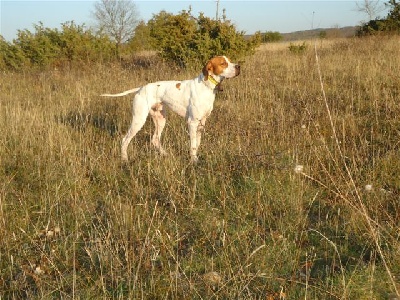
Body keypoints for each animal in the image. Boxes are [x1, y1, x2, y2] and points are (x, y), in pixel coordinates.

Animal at [101, 56, 242, 164]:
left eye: (230, 60)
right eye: (223, 63)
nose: (238, 66)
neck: (206, 86)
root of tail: (141, 88)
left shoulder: (202, 122)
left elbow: (197, 142)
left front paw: (196, 157)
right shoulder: (192, 122)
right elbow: (193, 144)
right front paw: (194, 160)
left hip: (160, 119)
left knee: (155, 139)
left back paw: (164, 154)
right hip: (138, 120)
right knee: (125, 140)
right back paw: (124, 159)